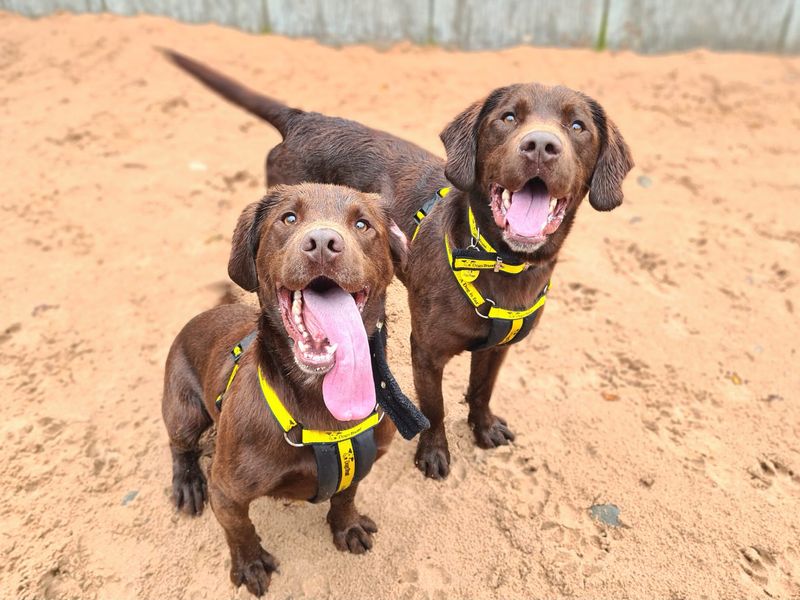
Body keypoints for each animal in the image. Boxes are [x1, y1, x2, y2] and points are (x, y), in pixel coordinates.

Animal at [162, 183, 406, 596]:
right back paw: (188, 482)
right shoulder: (225, 491)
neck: (322, 406)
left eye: (363, 224)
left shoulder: (363, 464)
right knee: (180, 445)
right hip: (183, 409)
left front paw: (347, 525)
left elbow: (346, 494)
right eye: (288, 218)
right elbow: (240, 528)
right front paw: (250, 563)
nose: (322, 242)